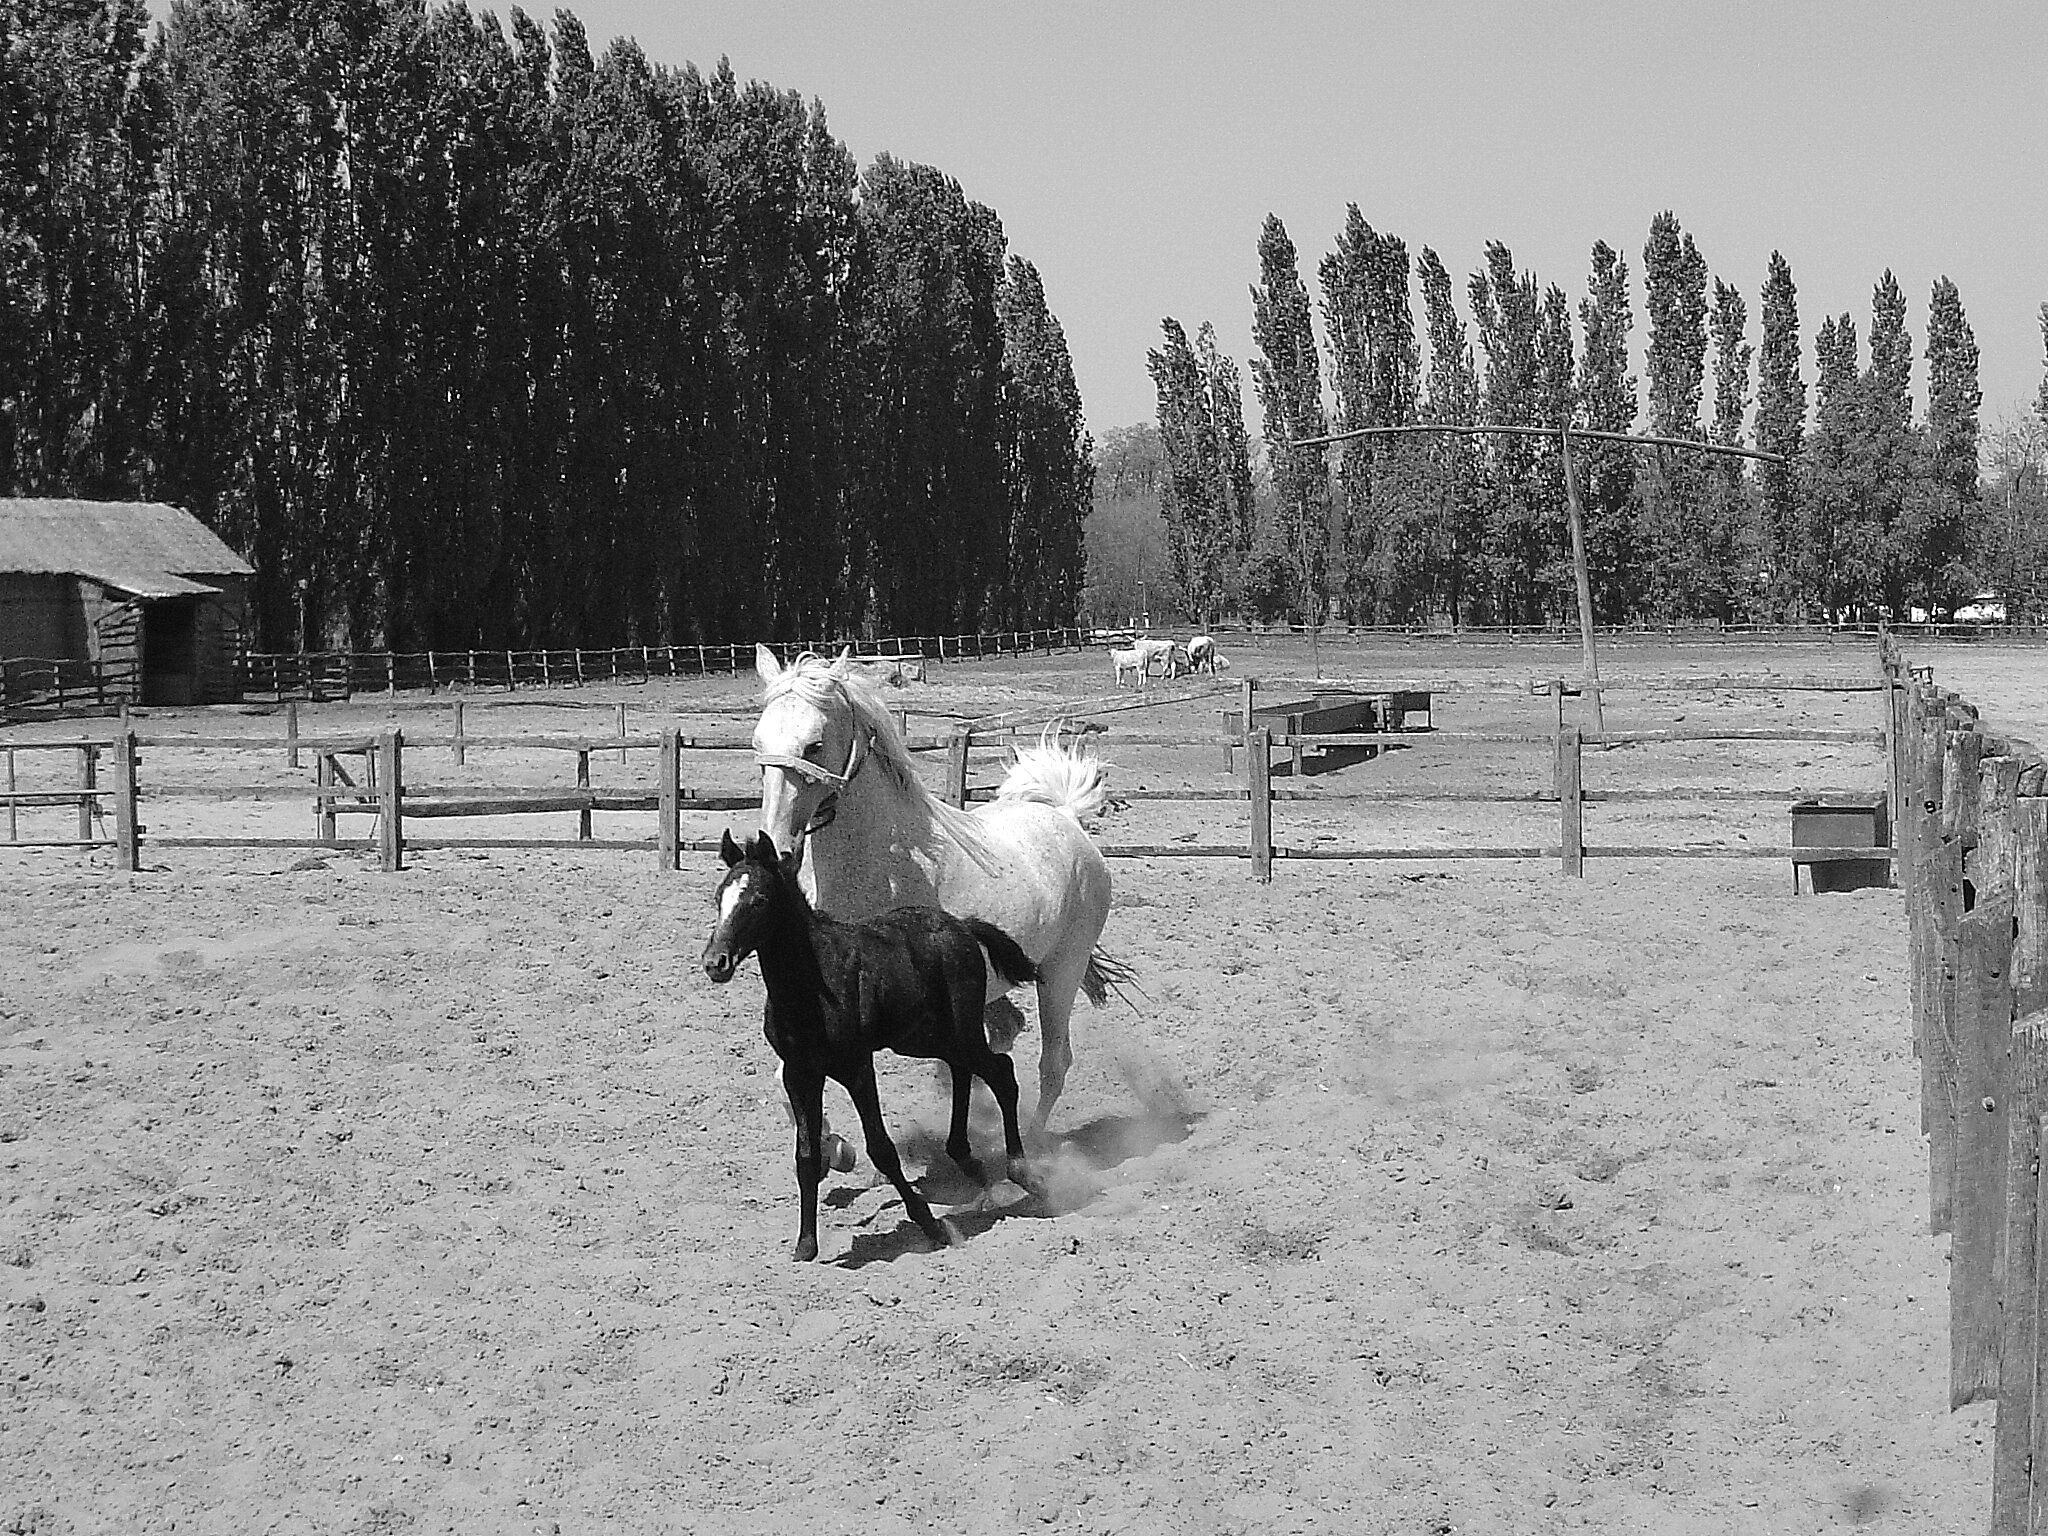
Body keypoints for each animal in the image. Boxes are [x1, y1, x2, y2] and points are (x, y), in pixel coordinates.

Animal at [701, 829, 1043, 1262]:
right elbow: (806, 1156)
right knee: (965, 1070)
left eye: (759, 899)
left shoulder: (856, 1068)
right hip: (925, 1038)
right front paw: (806, 1244)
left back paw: (1022, 1172)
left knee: (1002, 1074)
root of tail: (962, 927)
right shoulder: (801, 1073)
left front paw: (933, 1226)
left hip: (960, 1030)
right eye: (719, 897)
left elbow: (881, 1148)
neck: (814, 986)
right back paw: (966, 1158)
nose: (716, 962)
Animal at [751, 646, 1121, 1139]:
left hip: (1061, 973)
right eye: (758, 743)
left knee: (1053, 1063)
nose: (775, 848)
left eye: (814, 745)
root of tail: (1066, 819)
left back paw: (1032, 1141)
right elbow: (787, 1082)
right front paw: (833, 1145)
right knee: (1008, 1033)